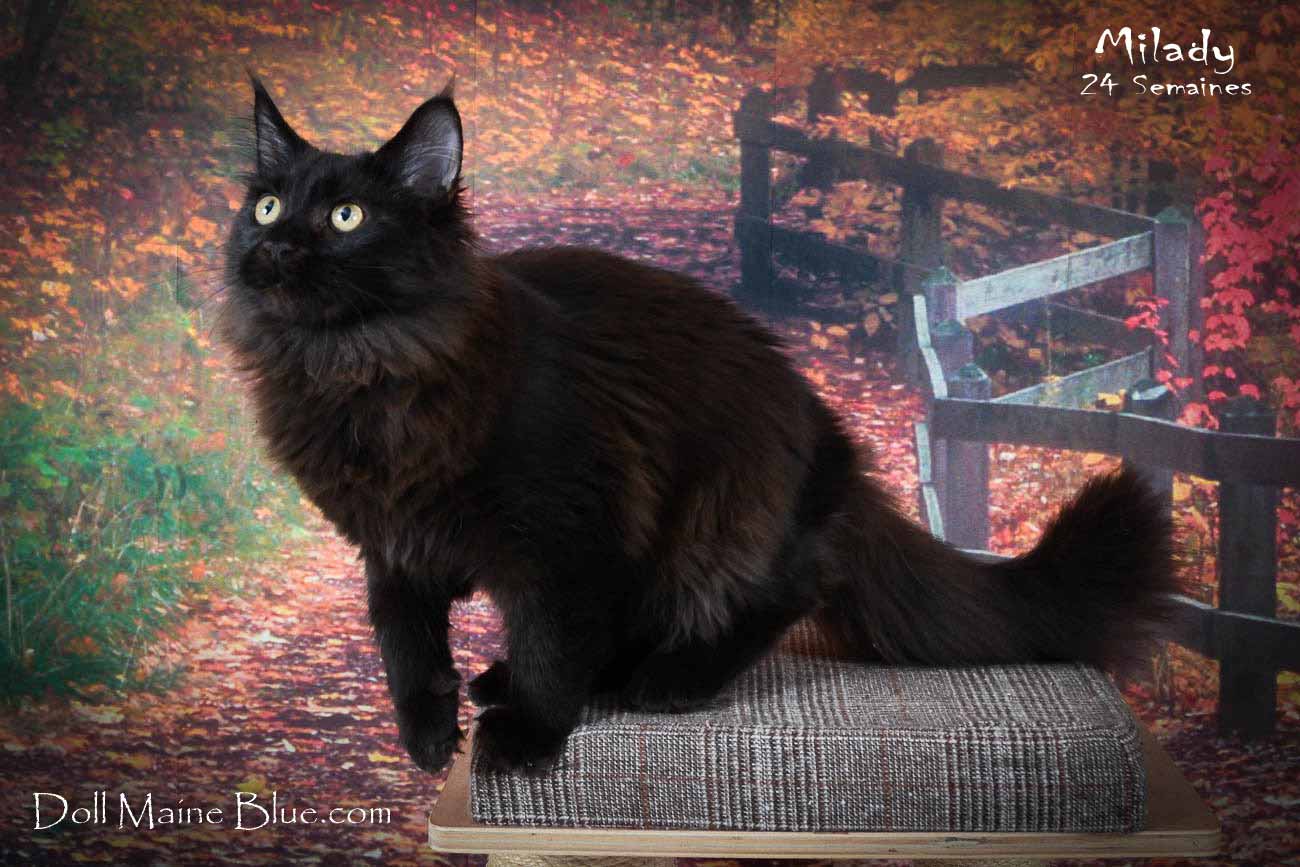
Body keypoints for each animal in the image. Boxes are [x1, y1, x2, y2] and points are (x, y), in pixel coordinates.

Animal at [219, 77, 1176, 775]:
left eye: (346, 217)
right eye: (266, 208)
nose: (277, 247)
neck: (358, 372)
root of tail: (828, 446)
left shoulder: (565, 534)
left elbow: (551, 643)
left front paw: (524, 736)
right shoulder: (392, 546)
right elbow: (405, 648)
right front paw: (427, 736)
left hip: (722, 514)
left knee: (782, 588)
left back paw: (666, 681)